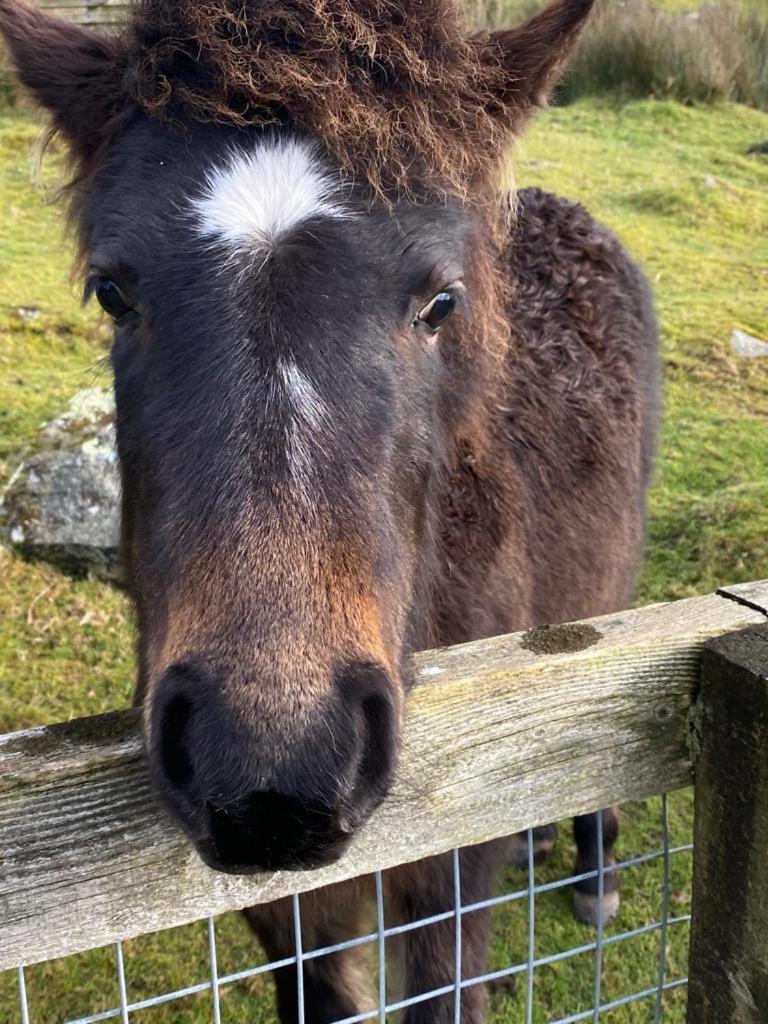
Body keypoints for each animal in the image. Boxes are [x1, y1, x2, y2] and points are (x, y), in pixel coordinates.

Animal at [1, 0, 663, 1019]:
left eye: (441, 302)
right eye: (112, 291)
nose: (273, 769)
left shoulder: (447, 898)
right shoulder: (292, 925)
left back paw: (593, 875)